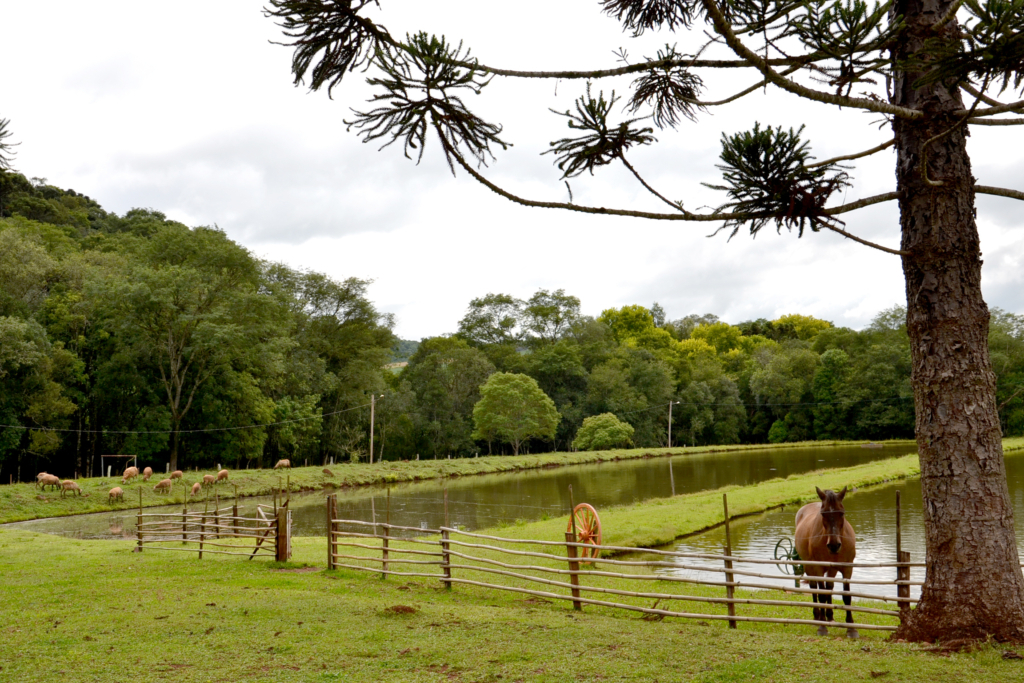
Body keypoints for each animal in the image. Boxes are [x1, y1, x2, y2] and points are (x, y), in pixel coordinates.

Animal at [794, 483, 860, 638]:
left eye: (841, 513)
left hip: (831, 569)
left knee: (829, 587)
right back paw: (818, 616)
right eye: (823, 514)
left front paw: (851, 628)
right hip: (809, 566)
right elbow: (822, 595)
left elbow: (846, 596)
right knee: (815, 588)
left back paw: (829, 616)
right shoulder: (818, 568)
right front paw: (822, 627)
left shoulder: (847, 568)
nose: (834, 545)